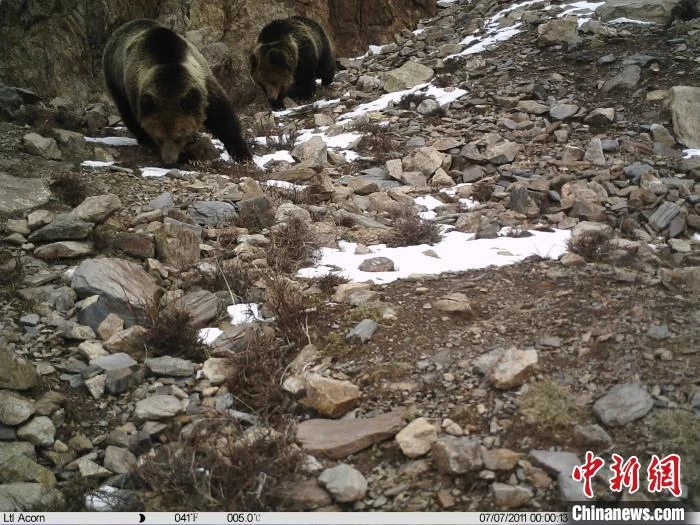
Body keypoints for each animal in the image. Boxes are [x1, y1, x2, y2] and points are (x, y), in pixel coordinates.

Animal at [103, 19, 251, 167]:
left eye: (177, 137)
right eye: (159, 138)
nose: (169, 161)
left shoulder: (204, 83)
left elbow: (222, 117)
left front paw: (243, 154)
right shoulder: (135, 92)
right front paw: (187, 156)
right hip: (115, 81)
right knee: (125, 111)